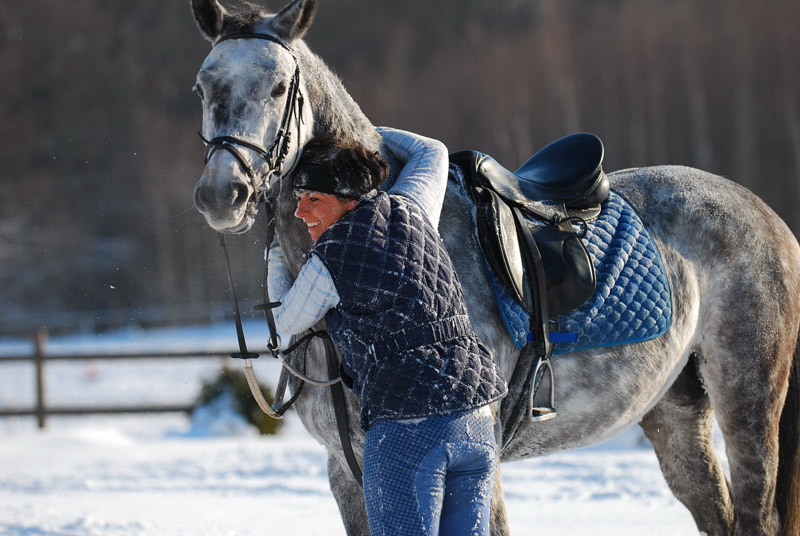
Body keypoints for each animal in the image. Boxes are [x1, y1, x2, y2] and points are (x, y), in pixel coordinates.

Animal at [189, 2, 800, 532]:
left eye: (277, 86)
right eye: (203, 86)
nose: (222, 194)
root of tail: (767, 216)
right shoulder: (348, 471)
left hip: (748, 402)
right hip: (676, 411)